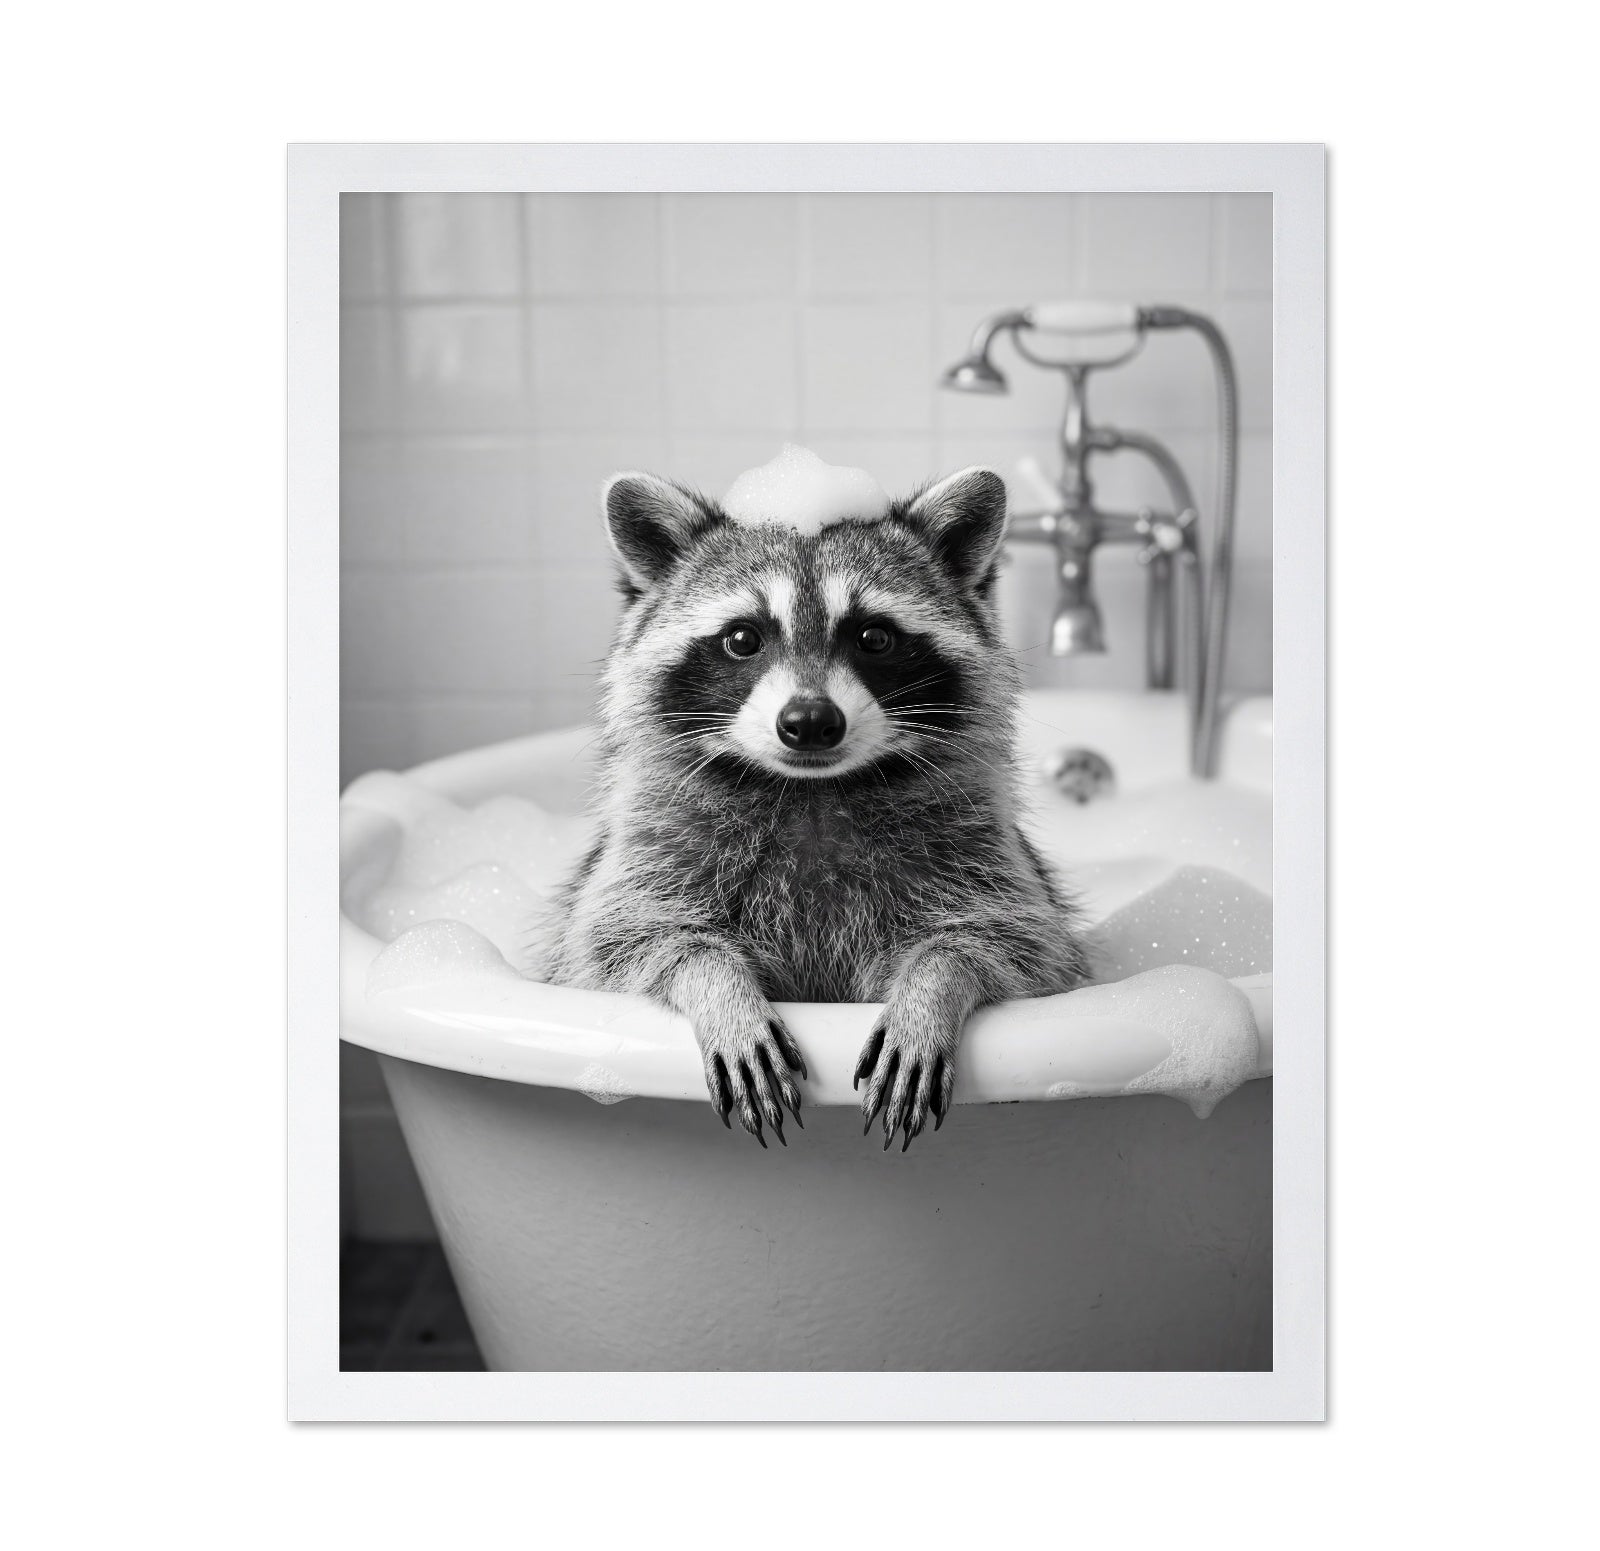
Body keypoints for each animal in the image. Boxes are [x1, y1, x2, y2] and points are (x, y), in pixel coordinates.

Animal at [542, 463, 1091, 1150]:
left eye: (874, 637)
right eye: (742, 638)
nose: (809, 722)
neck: (813, 793)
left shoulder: (979, 847)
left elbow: (1018, 945)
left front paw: (932, 988)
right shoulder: (652, 847)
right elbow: (621, 941)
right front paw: (719, 987)